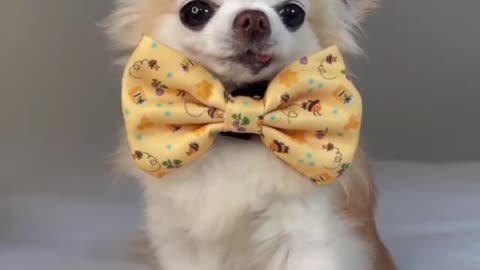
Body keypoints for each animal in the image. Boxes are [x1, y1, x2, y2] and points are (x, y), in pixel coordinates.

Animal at [103, 1, 396, 268]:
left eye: (292, 13)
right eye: (195, 11)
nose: (254, 19)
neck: (234, 138)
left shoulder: (305, 235)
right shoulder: (180, 239)